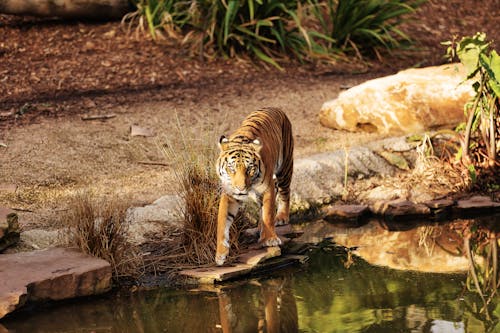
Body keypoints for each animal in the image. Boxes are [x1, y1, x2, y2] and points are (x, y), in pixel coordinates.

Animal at [215, 107, 292, 266]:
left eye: (249, 168)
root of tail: (275, 108)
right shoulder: (229, 194)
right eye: (231, 168)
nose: (241, 188)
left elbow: (268, 214)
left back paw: (281, 217)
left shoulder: (267, 188)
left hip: (285, 167)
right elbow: (222, 221)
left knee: (285, 192)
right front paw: (220, 253)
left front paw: (270, 239)